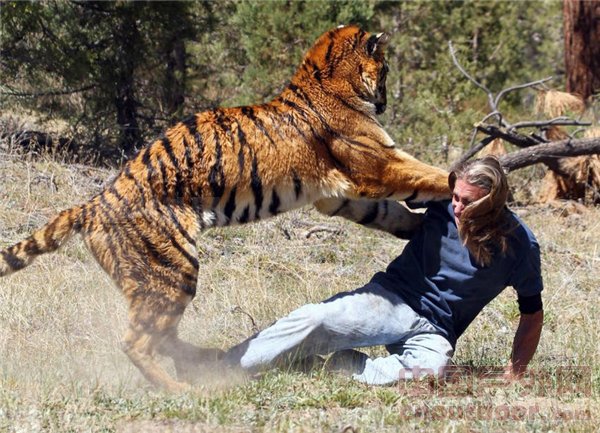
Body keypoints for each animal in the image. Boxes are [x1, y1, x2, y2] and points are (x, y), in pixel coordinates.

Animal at [0, 24, 450, 392]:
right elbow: (427, 173)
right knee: (136, 341)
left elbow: (387, 212)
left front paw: (415, 227)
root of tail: (92, 203)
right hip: (172, 271)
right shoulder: (377, 165)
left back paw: (202, 361)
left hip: (159, 280)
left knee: (163, 335)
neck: (325, 77)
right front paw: (463, 181)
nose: (387, 101)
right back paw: (181, 389)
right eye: (386, 69)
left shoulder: (338, 195)